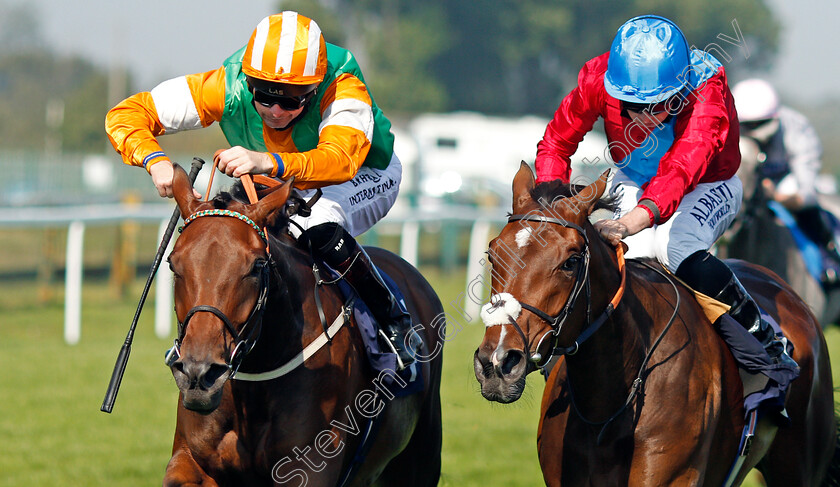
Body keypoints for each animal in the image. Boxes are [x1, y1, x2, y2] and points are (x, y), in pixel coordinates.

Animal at [160, 165, 442, 487]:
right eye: (173, 264)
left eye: (257, 266)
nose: (199, 374)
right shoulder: (190, 460)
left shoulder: (310, 467)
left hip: (421, 458)